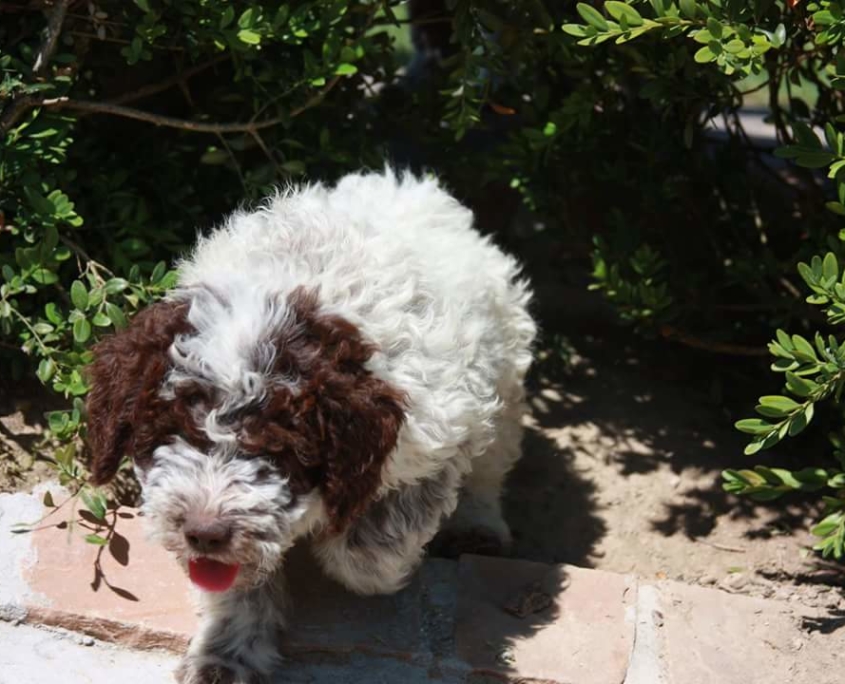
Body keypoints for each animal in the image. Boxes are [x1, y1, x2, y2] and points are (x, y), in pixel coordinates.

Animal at [85, 170, 536, 684]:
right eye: (169, 433)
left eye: (276, 450)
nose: (204, 532)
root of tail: (410, 185)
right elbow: (237, 576)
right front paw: (225, 654)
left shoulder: (439, 432)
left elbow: (368, 555)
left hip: (507, 373)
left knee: (492, 464)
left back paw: (480, 527)